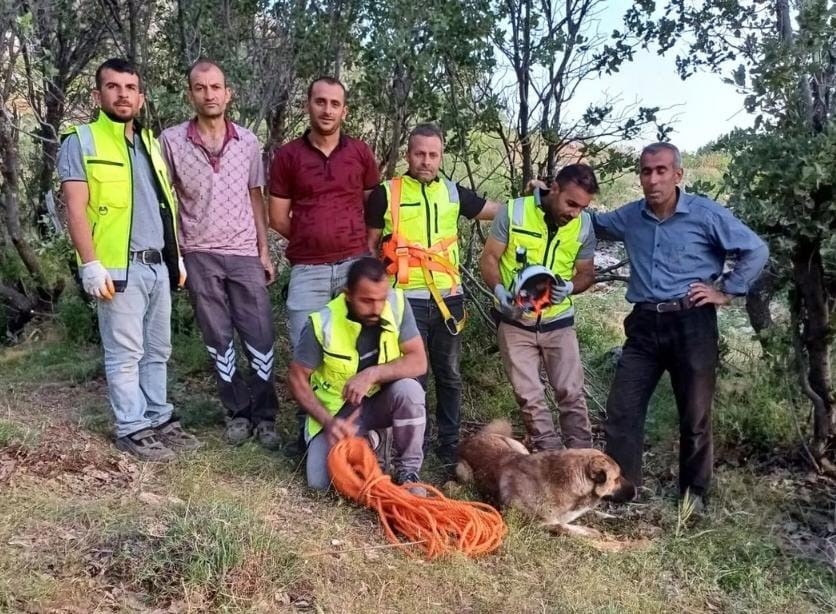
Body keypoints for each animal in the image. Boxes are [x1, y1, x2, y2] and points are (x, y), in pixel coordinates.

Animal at [458, 422, 632, 536]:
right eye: (617, 479)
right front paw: (589, 532)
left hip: (519, 448)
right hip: (463, 471)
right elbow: (561, 526)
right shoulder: (535, 523)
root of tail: (471, 438)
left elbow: (590, 513)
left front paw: (614, 518)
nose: (636, 491)